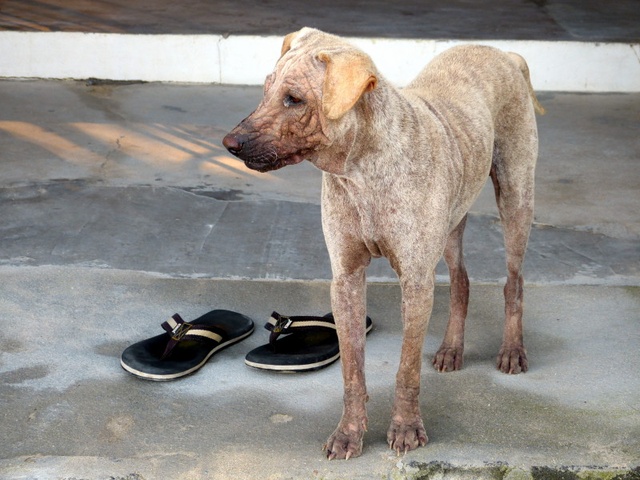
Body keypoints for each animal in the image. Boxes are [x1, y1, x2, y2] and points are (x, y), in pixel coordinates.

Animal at [222, 27, 544, 462]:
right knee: (461, 281)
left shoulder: (416, 282)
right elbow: (352, 370)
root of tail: (505, 54)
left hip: (515, 198)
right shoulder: (345, 278)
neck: (362, 169)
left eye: (294, 99)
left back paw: (511, 350)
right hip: (452, 223)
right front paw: (348, 433)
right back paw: (451, 349)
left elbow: (406, 369)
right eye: (266, 89)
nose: (229, 143)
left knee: (514, 281)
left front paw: (406, 429)